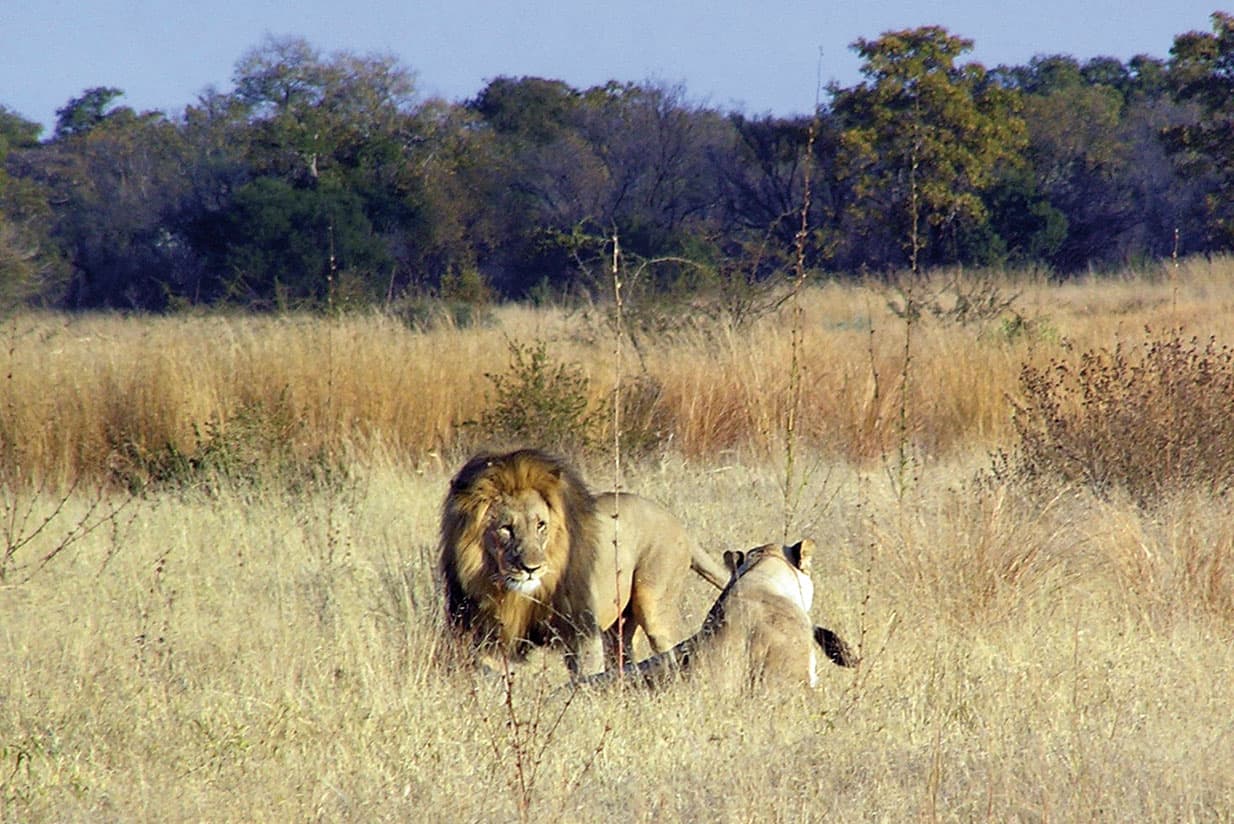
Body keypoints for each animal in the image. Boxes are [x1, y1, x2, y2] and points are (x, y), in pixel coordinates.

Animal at [438, 448, 731, 677]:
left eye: (541, 525)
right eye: (506, 528)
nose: (531, 569)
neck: (517, 596)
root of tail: (678, 524)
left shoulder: (581, 630)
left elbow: (584, 678)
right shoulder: (489, 635)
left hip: (654, 603)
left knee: (666, 649)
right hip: (621, 626)